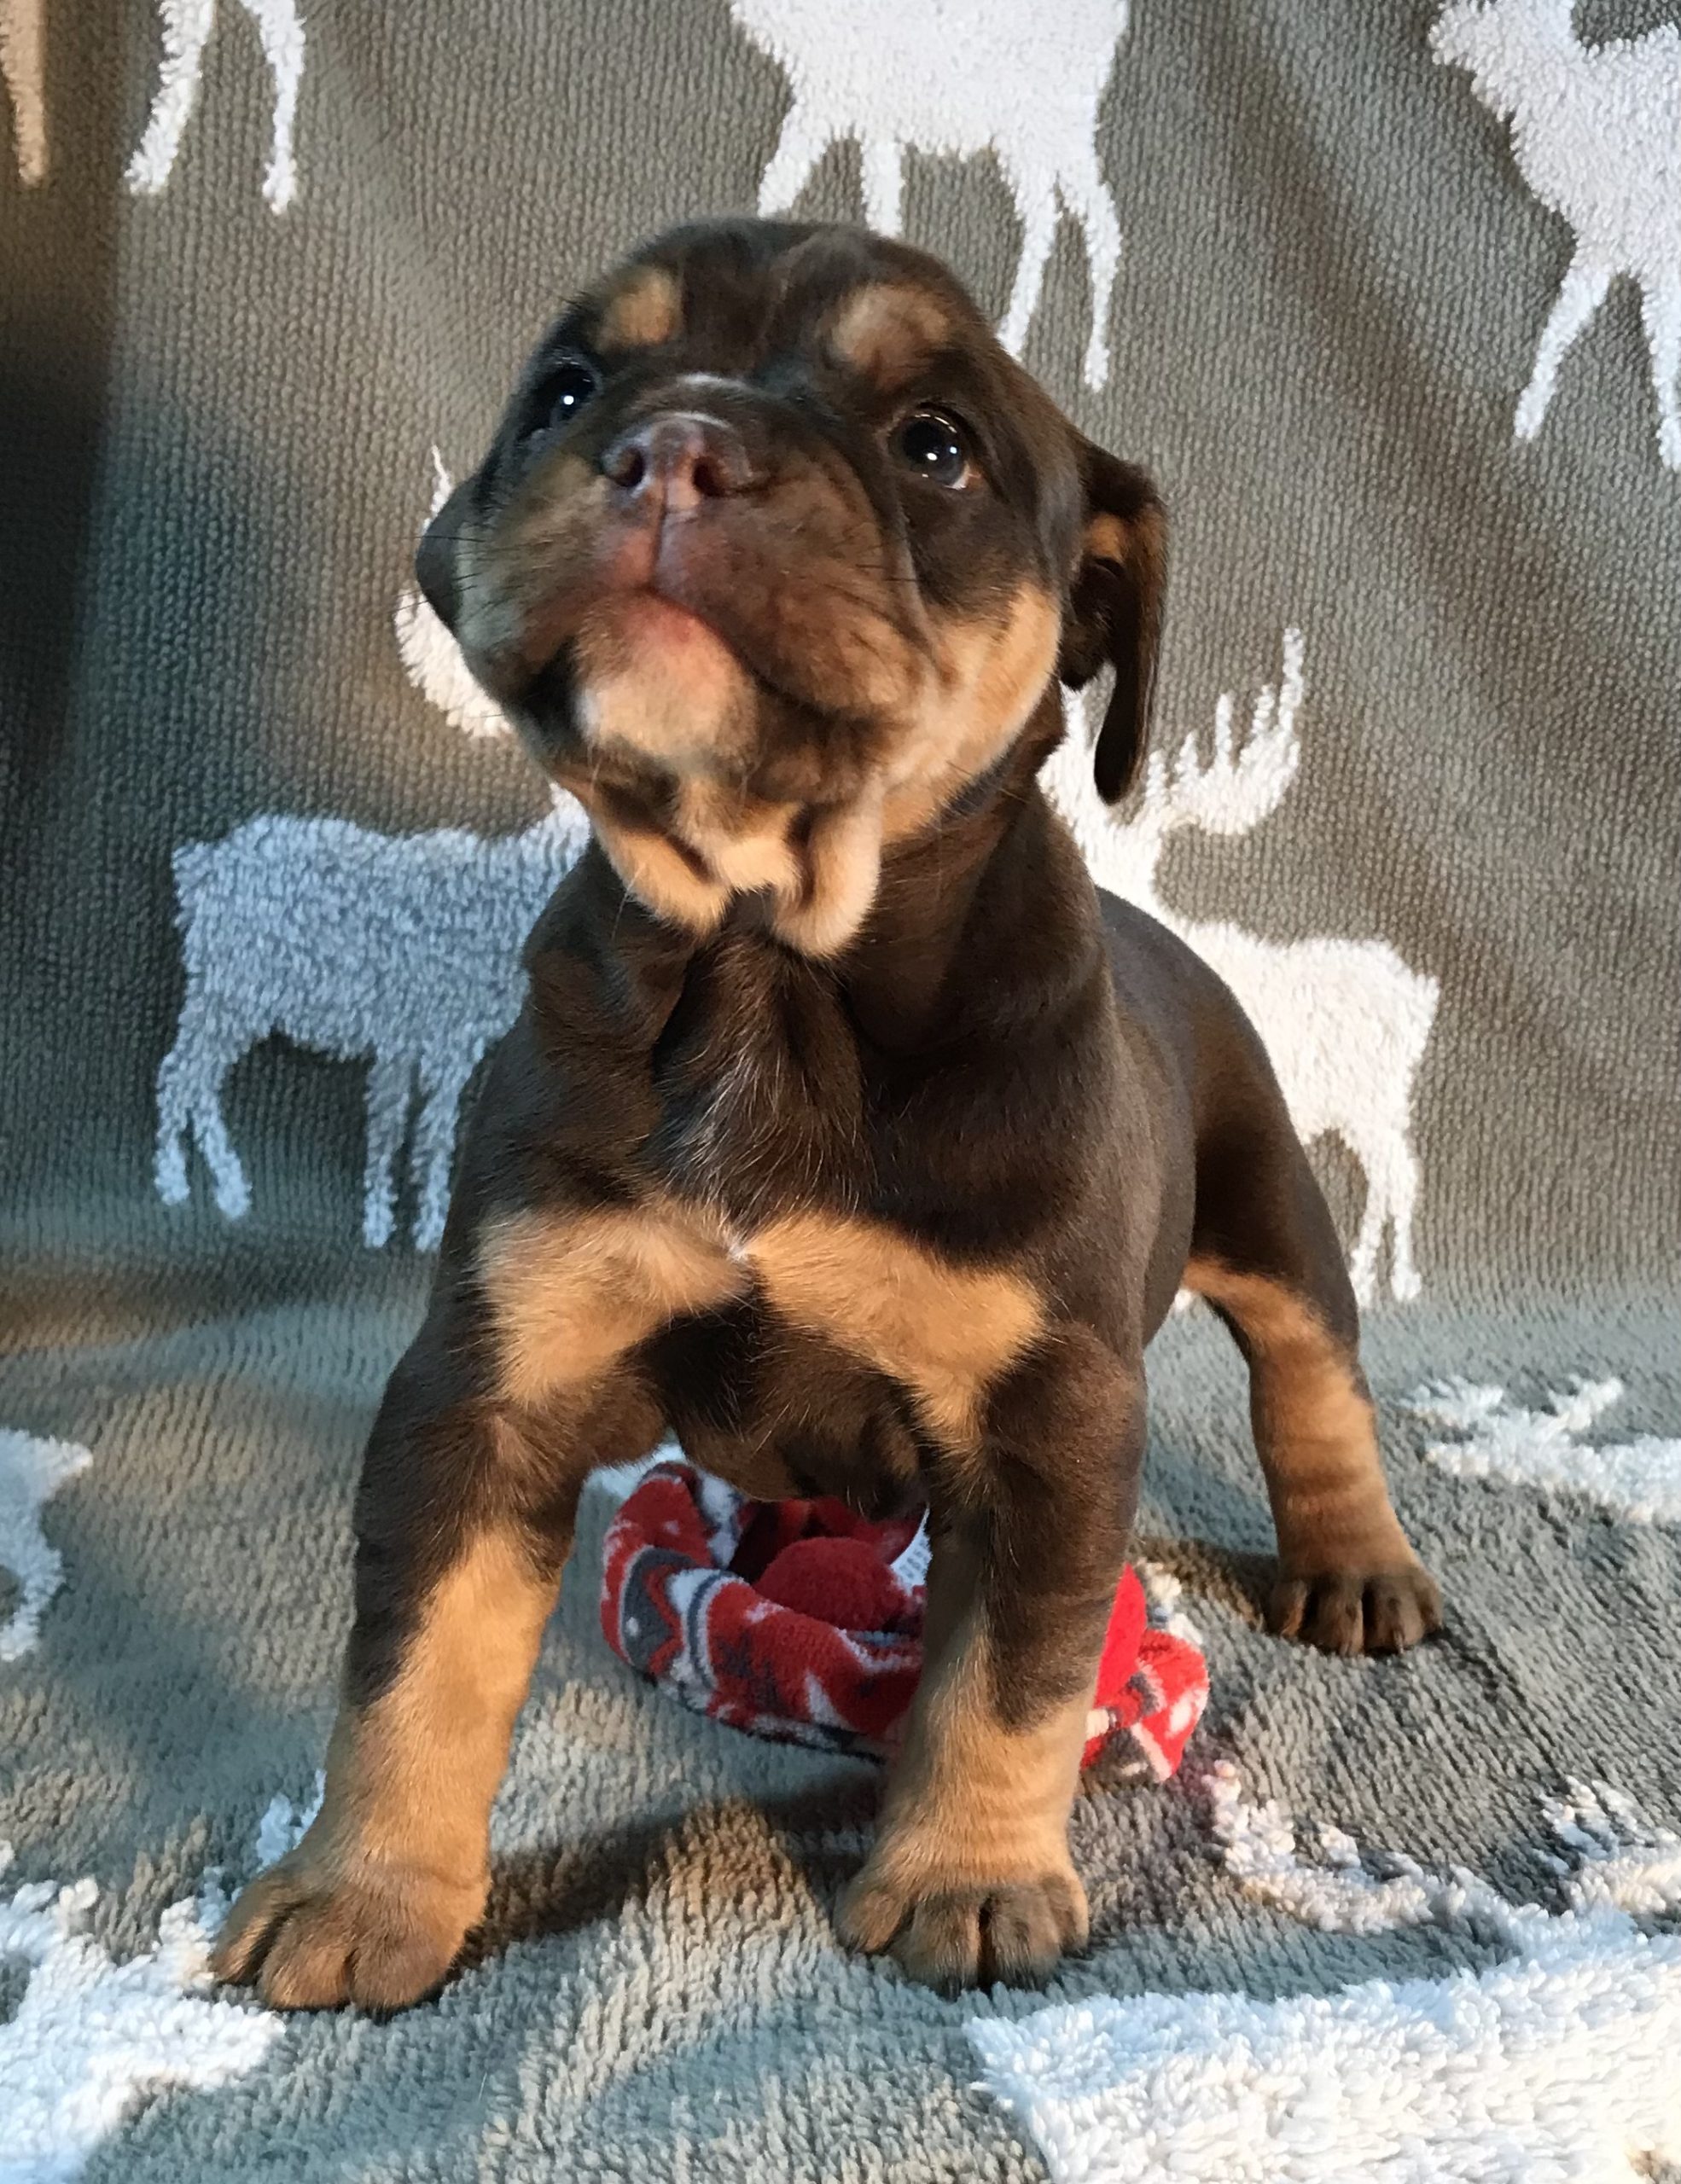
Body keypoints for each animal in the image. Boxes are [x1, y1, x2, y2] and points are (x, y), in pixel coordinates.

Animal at [154, 459, 590, 1252]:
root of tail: (196, 869)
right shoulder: (442, 1030)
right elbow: (430, 1133)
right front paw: (424, 1225)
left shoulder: (406, 1036)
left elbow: (390, 1127)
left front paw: (383, 1219)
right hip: (229, 985)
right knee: (181, 1075)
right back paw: (180, 1184)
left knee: (200, 1080)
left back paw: (226, 1188)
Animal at [728, 0, 1131, 389]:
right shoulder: (859, 118)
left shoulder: (835, 104)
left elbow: (788, 182)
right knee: (1068, 216)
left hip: (1042, 130)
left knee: (1081, 220)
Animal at [1432, 0, 1681, 472]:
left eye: (1485, 10)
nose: (1444, 33)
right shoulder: (1605, 245)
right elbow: (1562, 324)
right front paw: (1529, 411)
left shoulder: (1652, 247)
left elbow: (1663, 353)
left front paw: (1673, 442)